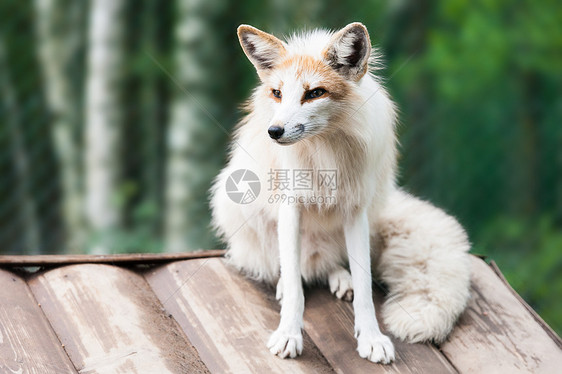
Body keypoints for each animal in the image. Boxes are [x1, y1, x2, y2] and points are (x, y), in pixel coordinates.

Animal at [210, 21, 468, 364]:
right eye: (277, 93)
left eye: (315, 93)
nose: (274, 132)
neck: (324, 154)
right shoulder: (290, 206)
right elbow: (294, 287)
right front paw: (289, 333)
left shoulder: (355, 211)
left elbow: (365, 286)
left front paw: (371, 337)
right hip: (240, 210)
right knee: (289, 266)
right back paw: (287, 282)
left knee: (328, 263)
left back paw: (339, 276)